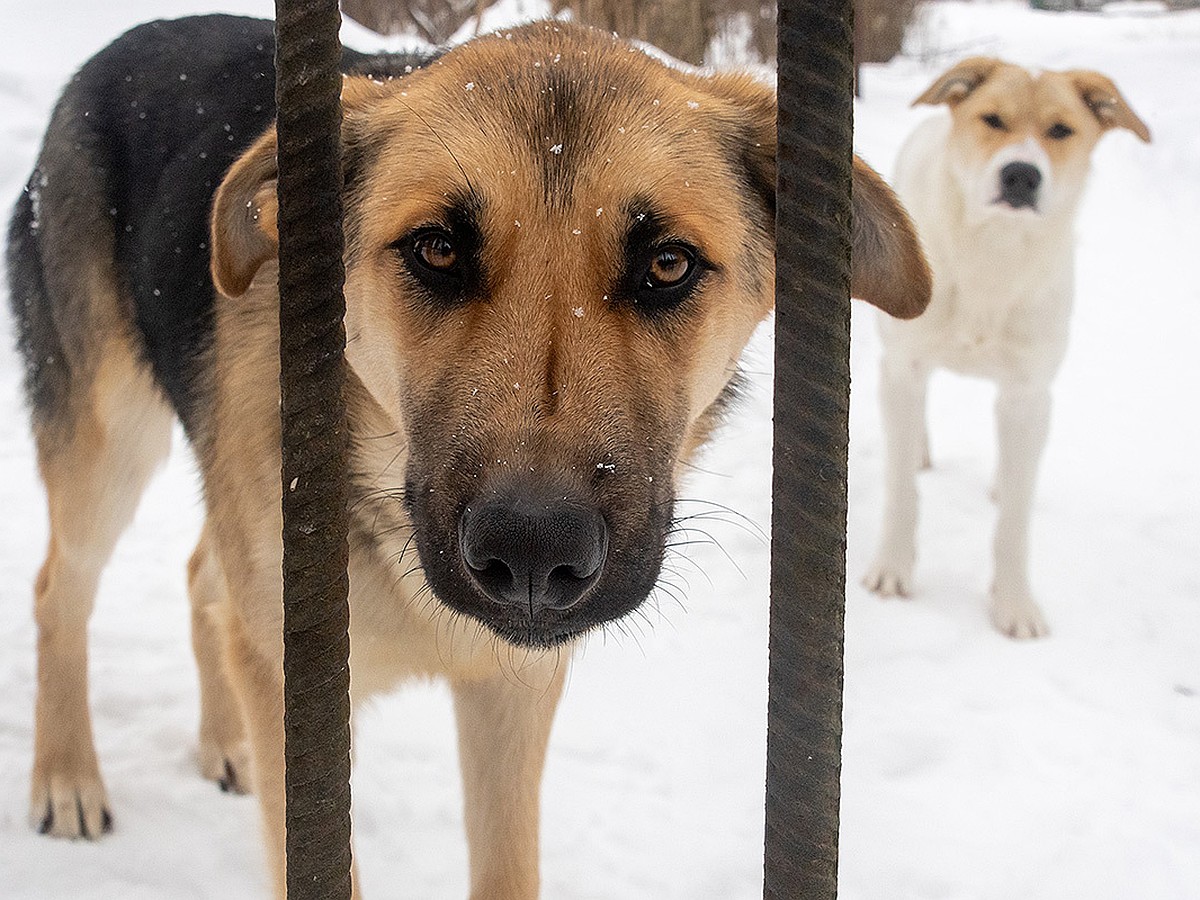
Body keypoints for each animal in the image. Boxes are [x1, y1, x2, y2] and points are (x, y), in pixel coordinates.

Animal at [7, 12, 926, 897]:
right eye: (437, 250)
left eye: (668, 265)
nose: (533, 551)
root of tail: (123, 46)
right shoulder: (294, 697)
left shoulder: (513, 691)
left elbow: (507, 867)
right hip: (109, 446)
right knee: (60, 589)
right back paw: (66, 777)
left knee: (202, 575)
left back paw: (218, 739)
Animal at [868, 58, 1147, 643]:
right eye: (992, 120)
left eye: (1061, 130)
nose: (1021, 175)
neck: (992, 255)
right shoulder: (903, 366)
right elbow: (902, 491)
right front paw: (893, 568)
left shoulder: (1028, 392)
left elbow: (1014, 521)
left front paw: (1015, 603)